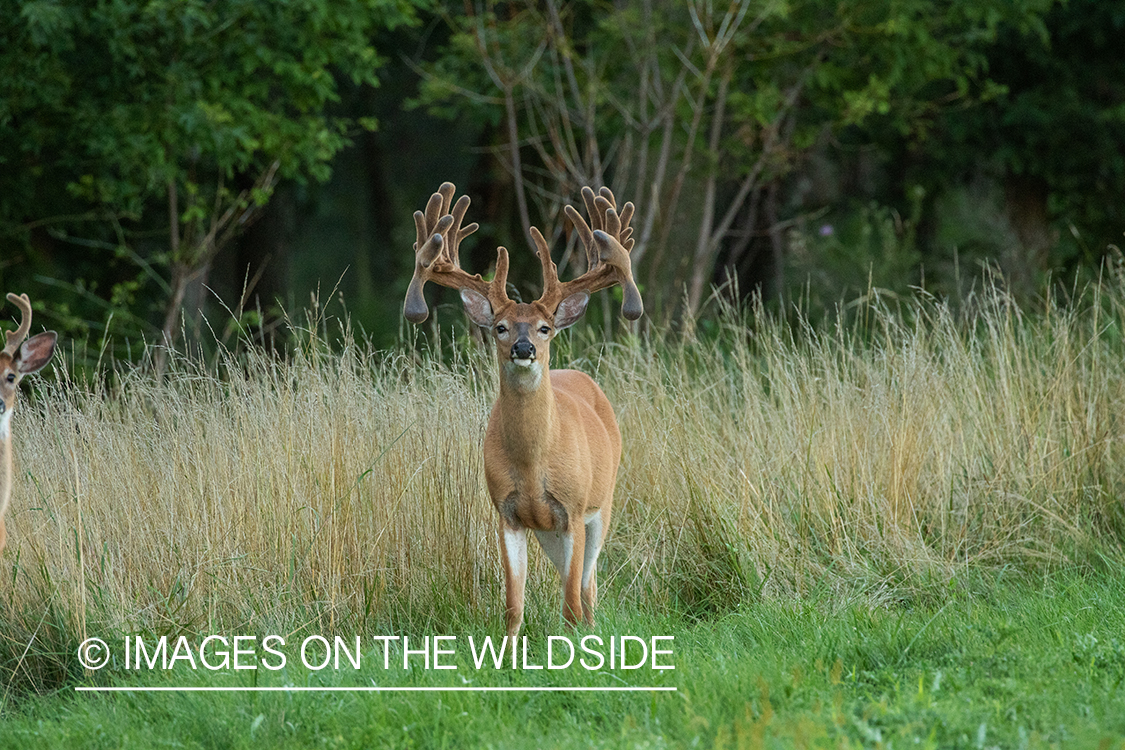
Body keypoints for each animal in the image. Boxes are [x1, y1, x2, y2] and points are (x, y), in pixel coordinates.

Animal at [402, 182, 643, 638]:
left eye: (544, 327)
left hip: (602, 504)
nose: (524, 347)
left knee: (587, 586)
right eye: (500, 326)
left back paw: (592, 630)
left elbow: (569, 601)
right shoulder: (507, 512)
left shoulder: (573, 509)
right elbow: (514, 604)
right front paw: (509, 650)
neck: (533, 463)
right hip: (550, 532)